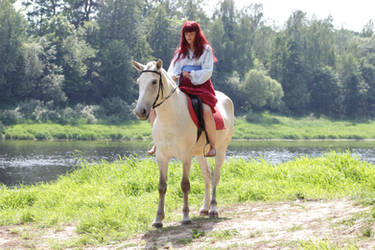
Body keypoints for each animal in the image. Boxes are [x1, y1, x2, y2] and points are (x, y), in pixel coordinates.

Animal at [131, 59, 232, 228]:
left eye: (154, 82)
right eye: (139, 82)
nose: (140, 111)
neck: (170, 117)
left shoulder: (185, 156)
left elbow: (185, 185)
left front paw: (185, 217)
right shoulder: (162, 157)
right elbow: (162, 187)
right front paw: (158, 219)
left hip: (220, 149)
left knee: (215, 176)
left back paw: (213, 209)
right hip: (199, 154)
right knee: (207, 175)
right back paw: (204, 208)